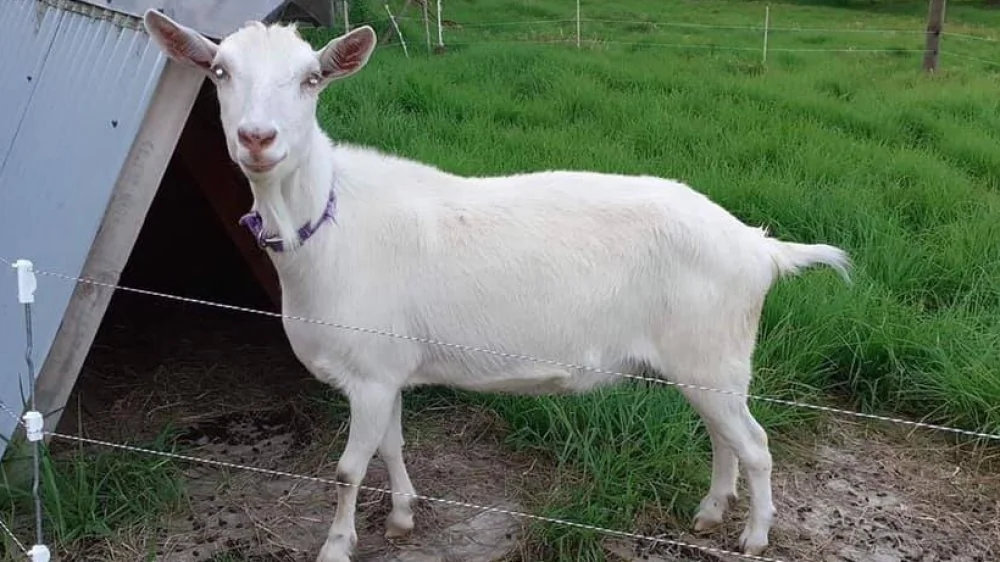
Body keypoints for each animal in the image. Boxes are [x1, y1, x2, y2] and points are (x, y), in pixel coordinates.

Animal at [143, 11, 851, 562]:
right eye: (218, 72)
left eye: (311, 79)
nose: (257, 139)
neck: (329, 225)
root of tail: (758, 246)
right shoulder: (386, 368)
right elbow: (392, 447)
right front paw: (402, 516)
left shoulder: (369, 373)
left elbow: (347, 470)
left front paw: (336, 546)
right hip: (708, 363)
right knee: (725, 438)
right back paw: (709, 513)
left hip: (714, 353)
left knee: (755, 446)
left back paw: (754, 535)